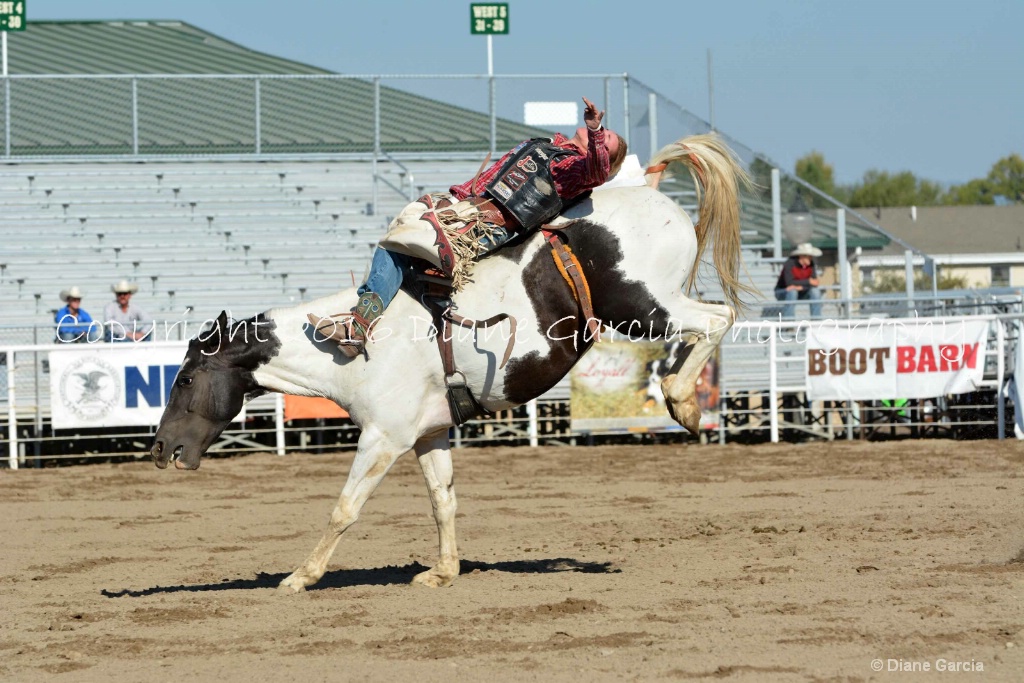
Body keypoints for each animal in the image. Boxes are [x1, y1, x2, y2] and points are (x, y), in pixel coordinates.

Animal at [148, 135, 749, 593]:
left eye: (185, 378)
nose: (160, 449)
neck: (347, 348)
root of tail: (650, 190)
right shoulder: (427, 434)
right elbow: (444, 500)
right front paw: (442, 572)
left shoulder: (383, 437)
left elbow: (345, 508)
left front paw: (299, 577)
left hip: (645, 306)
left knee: (718, 317)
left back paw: (682, 402)